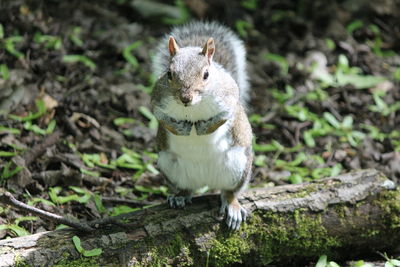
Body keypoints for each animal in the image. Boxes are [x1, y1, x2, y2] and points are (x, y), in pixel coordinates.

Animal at [150, 21, 253, 230]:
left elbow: (224, 116)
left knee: (229, 192)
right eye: (169, 74)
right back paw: (180, 197)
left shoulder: (229, 97)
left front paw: (205, 128)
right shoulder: (157, 99)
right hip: (169, 165)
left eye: (206, 74)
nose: (185, 98)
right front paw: (180, 128)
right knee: (186, 188)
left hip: (239, 166)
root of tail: (206, 180)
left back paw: (232, 206)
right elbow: (161, 117)